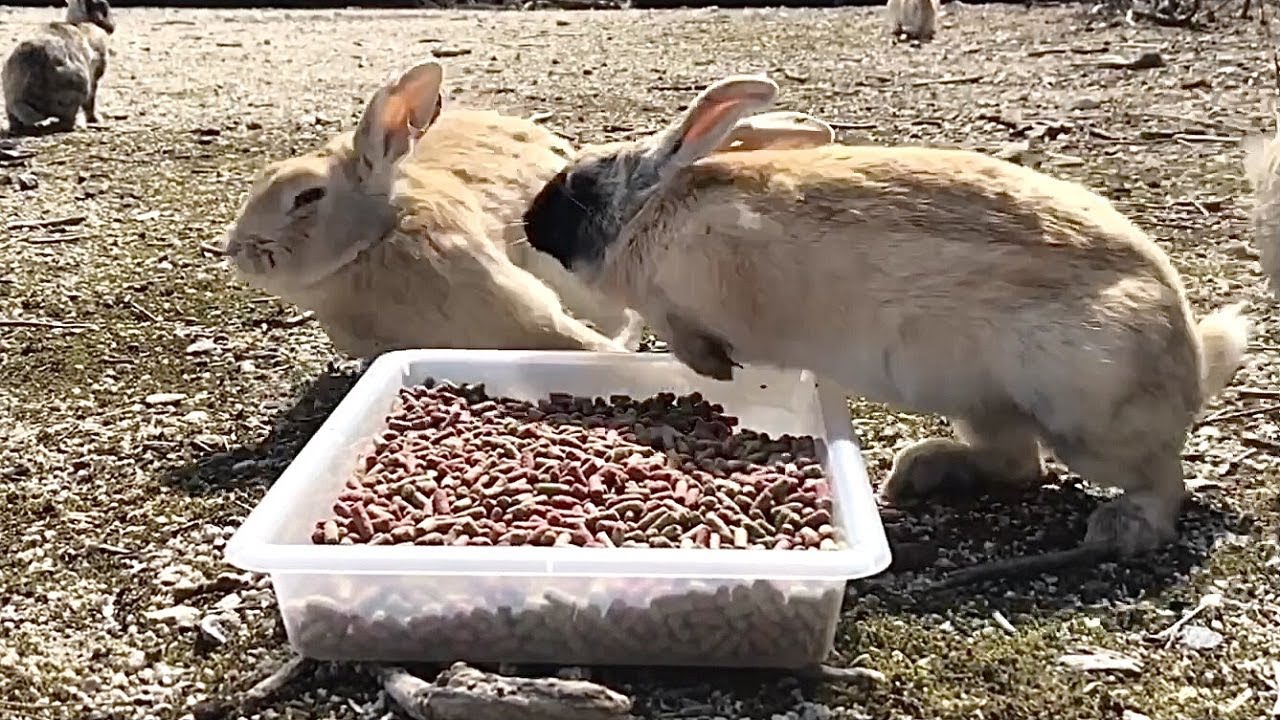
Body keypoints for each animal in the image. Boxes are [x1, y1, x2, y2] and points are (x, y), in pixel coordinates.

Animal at [3, 0, 115, 135]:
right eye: (103, 7)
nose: (112, 26)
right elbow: (91, 101)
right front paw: (95, 119)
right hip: (77, 87)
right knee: (68, 120)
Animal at [520, 74, 1251, 558]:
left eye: (579, 185)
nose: (528, 224)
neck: (649, 212)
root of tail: (1191, 362)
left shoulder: (682, 300)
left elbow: (686, 340)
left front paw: (717, 370)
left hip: (1087, 422)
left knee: (1162, 482)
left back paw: (1122, 529)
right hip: (983, 404)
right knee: (1019, 464)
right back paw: (917, 474)